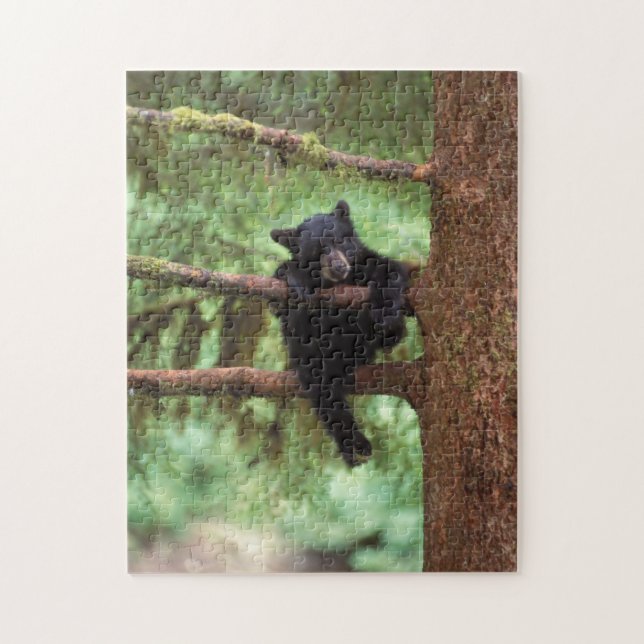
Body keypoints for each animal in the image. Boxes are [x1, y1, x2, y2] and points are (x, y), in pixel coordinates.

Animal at [270, 200, 411, 466]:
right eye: (318, 251)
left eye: (340, 241)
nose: (338, 266)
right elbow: (284, 305)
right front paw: (294, 277)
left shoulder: (366, 264)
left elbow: (391, 270)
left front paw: (386, 313)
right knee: (323, 392)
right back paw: (354, 443)